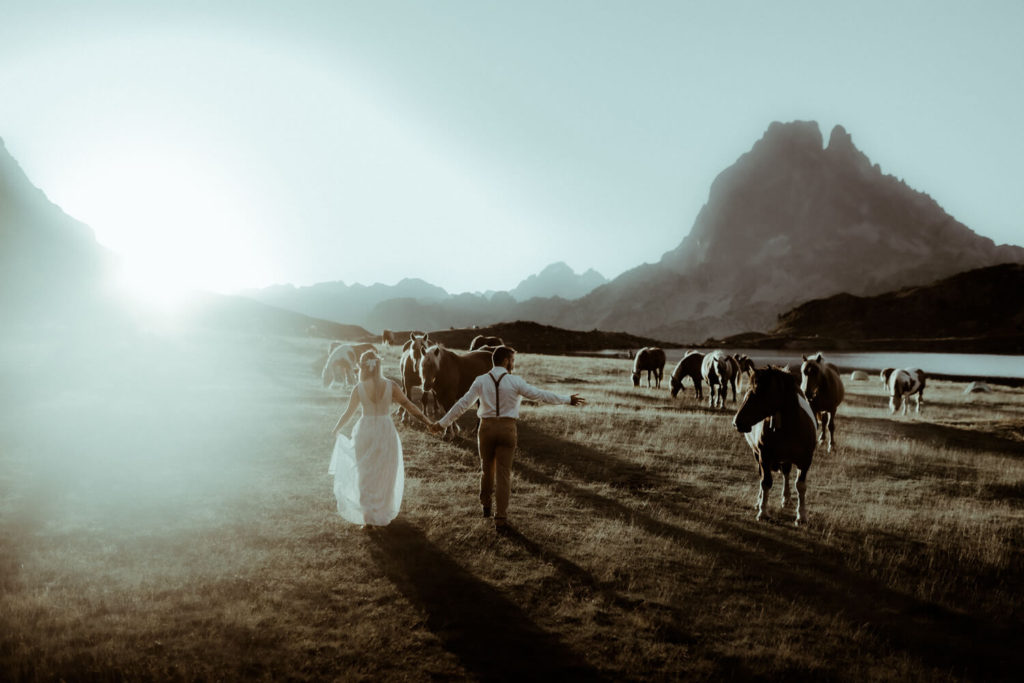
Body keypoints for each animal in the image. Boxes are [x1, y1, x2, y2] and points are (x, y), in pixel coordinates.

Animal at [733, 366, 819, 528]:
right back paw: (759, 501)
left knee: (786, 472)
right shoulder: (764, 457)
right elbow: (765, 482)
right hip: (757, 456)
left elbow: (801, 486)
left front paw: (801, 516)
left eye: (759, 392)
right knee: (764, 476)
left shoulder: (805, 461)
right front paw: (763, 512)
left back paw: (786, 498)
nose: (736, 422)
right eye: (747, 390)